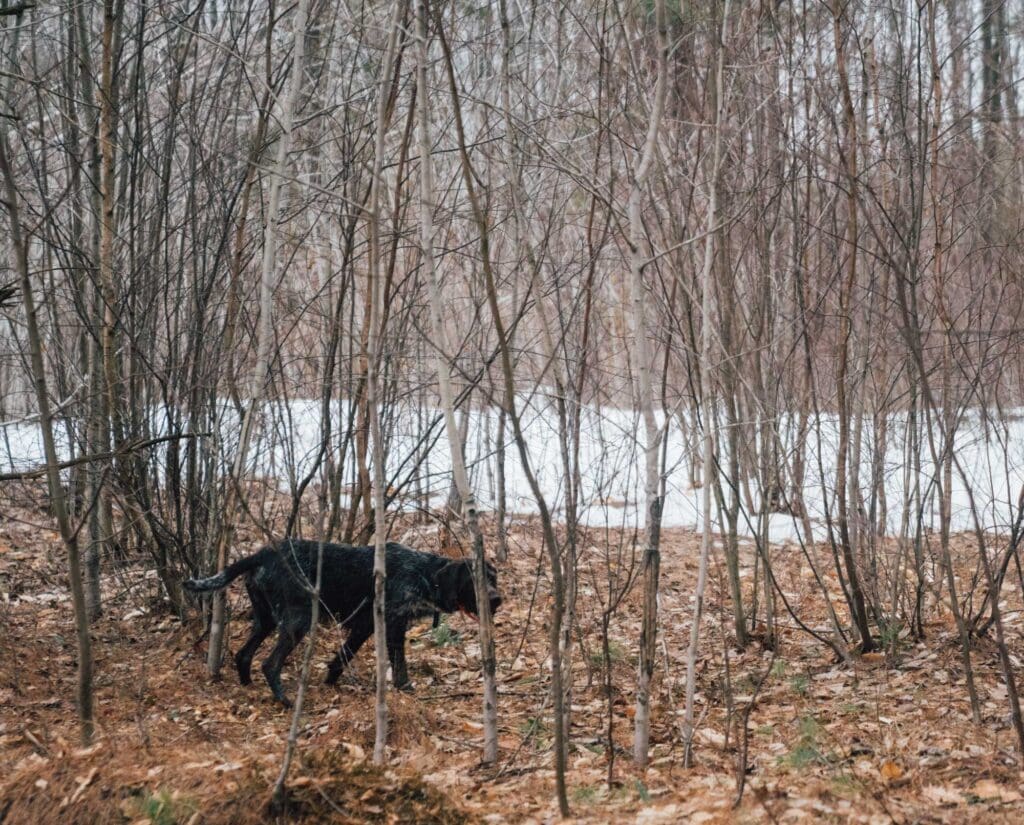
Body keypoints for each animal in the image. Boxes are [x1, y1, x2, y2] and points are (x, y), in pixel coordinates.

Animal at [187, 540, 503, 708]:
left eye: (493, 578)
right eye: (474, 580)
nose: (497, 599)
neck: (425, 574)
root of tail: (264, 552)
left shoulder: (365, 626)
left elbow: (342, 657)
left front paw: (331, 681)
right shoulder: (392, 623)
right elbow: (399, 664)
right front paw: (405, 688)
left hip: (265, 620)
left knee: (243, 655)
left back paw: (248, 687)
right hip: (298, 621)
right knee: (269, 663)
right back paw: (286, 701)